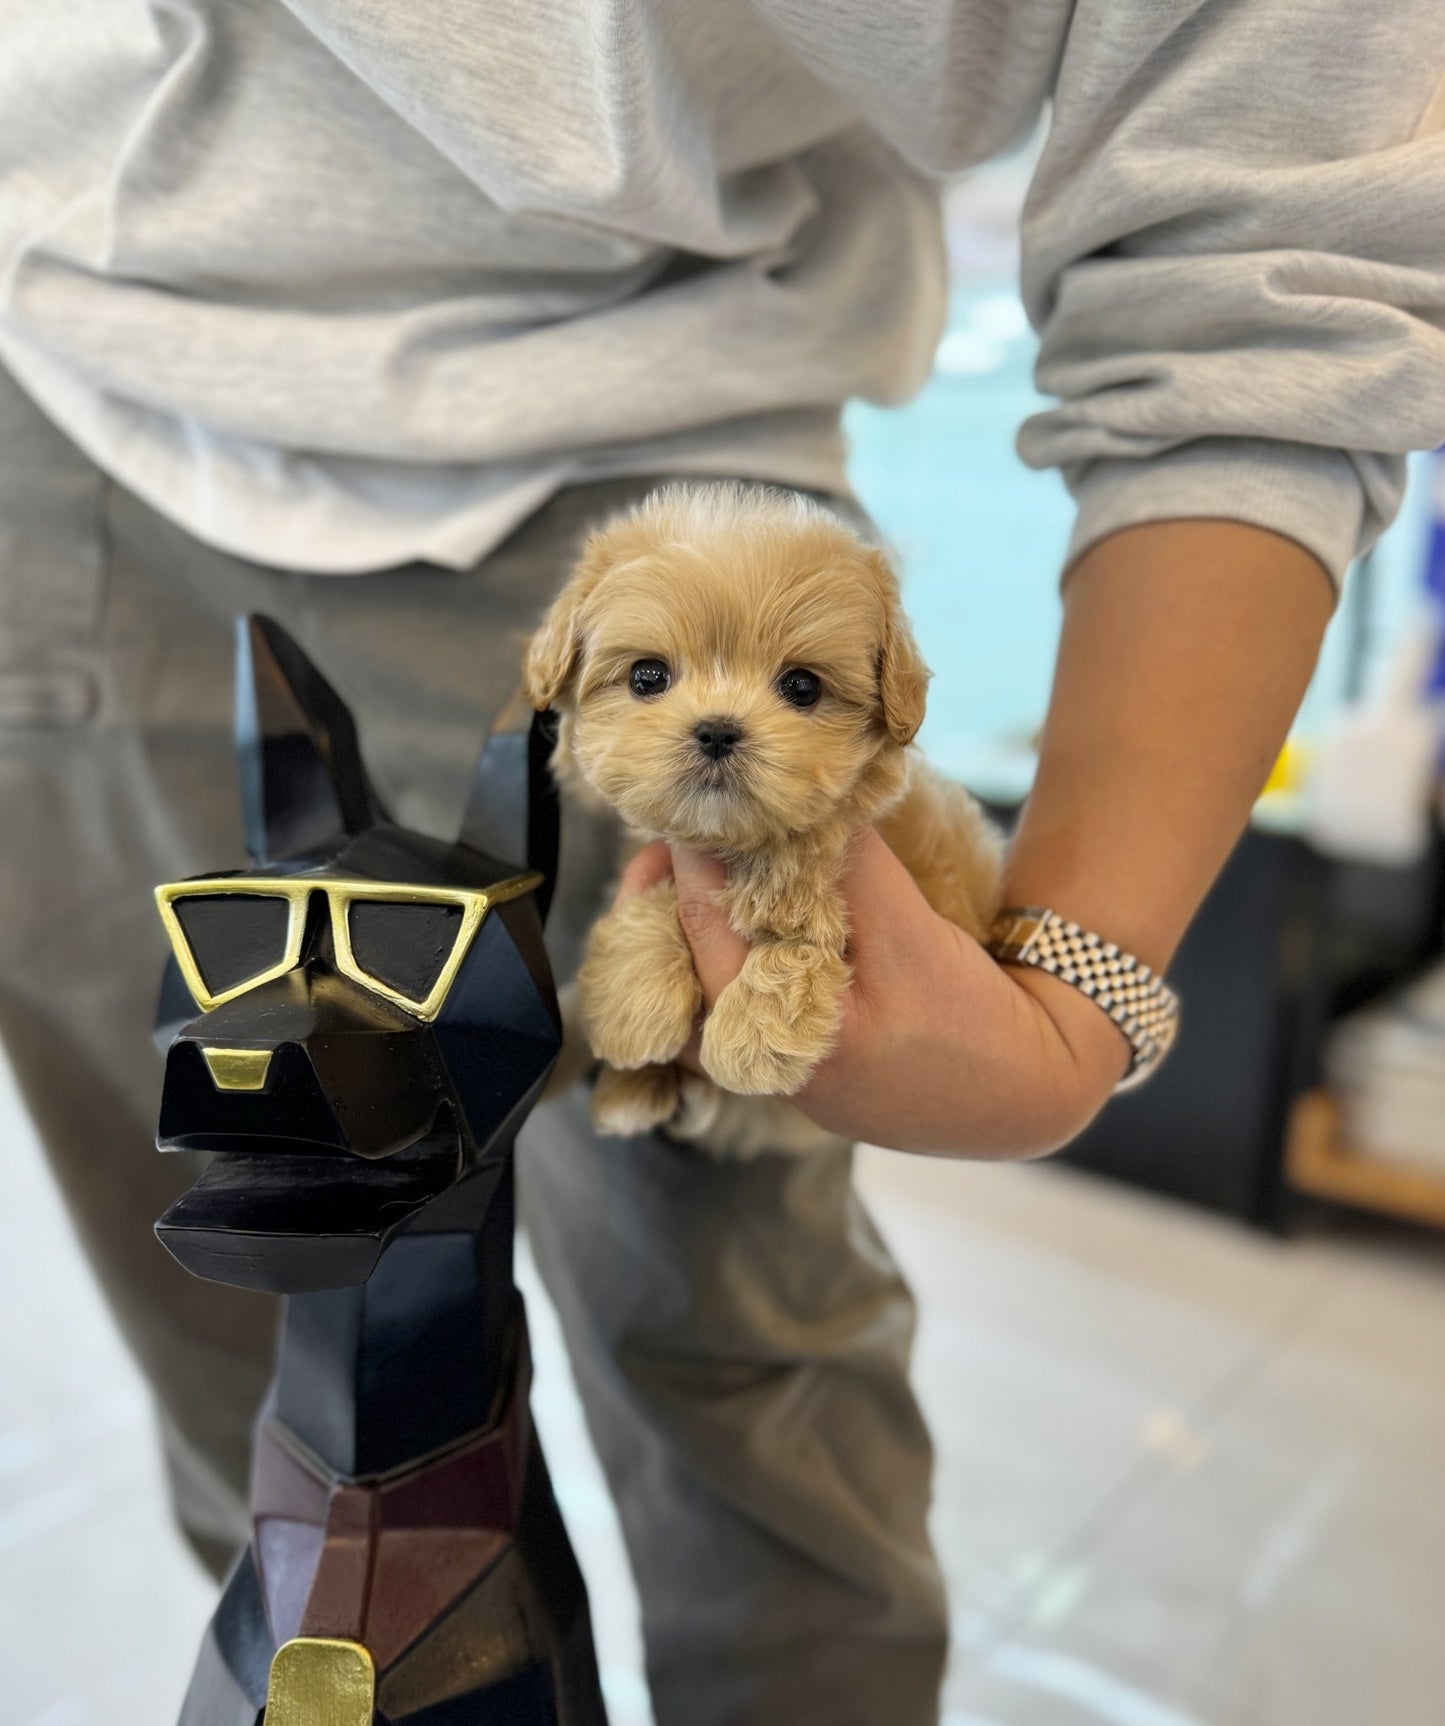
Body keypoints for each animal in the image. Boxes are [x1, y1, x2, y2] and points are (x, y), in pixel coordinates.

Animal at [521, 483, 1001, 1159]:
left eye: (801, 687)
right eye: (648, 676)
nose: (718, 729)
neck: (736, 842)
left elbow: (802, 943)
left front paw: (750, 1039)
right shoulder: (665, 854)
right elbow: (654, 895)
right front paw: (635, 1007)